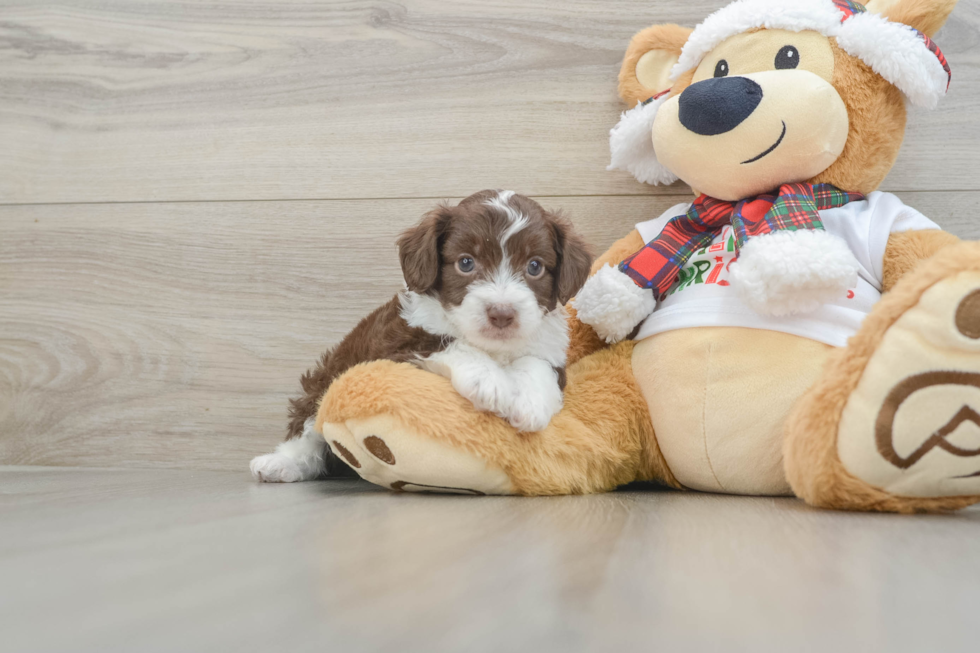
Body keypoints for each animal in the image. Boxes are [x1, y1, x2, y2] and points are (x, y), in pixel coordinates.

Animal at [249, 188, 592, 478]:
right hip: (327, 377)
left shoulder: (548, 345)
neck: (493, 347)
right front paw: (492, 384)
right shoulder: (395, 344)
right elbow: (447, 342)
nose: (502, 313)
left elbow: (537, 365)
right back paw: (279, 464)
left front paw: (529, 404)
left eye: (535, 266)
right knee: (308, 426)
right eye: (466, 263)